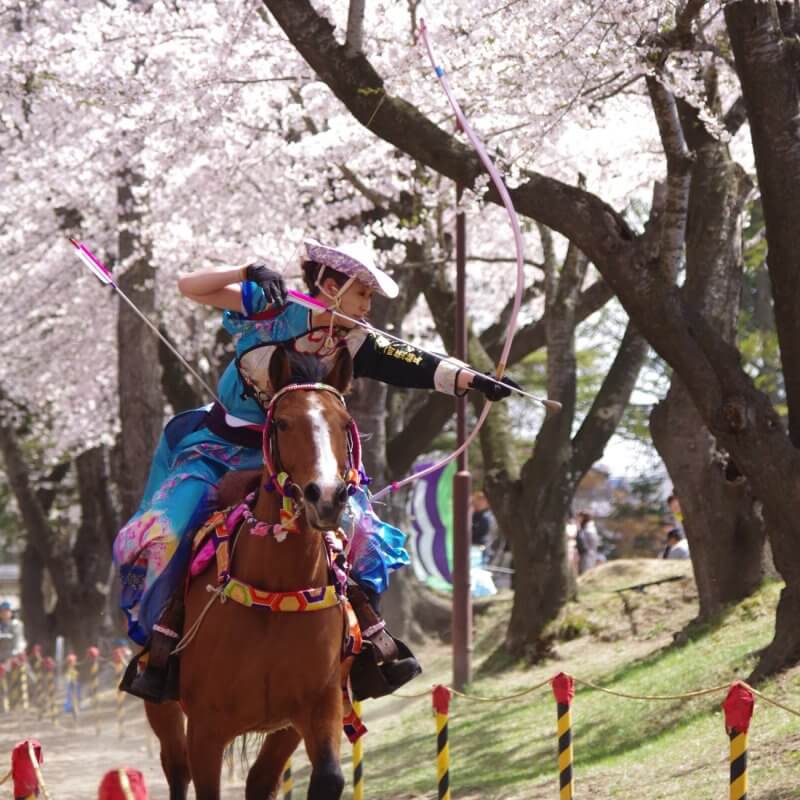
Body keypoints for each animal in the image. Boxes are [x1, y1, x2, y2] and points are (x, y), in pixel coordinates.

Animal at [146, 348, 360, 800]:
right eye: (282, 423)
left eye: (343, 424)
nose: (326, 496)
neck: (275, 591)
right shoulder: (206, 730)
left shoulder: (317, 709)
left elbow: (328, 778)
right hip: (161, 706)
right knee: (175, 767)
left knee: (259, 781)